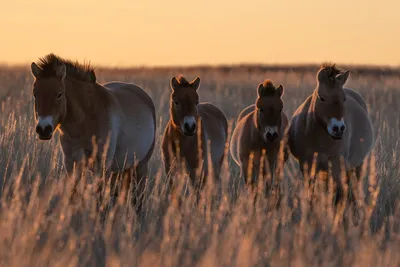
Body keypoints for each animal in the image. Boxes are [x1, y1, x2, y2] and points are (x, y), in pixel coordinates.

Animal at [29, 54, 156, 214]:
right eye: (35, 94)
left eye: (59, 94)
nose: (43, 129)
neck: (86, 119)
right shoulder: (71, 163)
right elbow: (73, 194)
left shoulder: (101, 166)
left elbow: (100, 199)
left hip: (140, 166)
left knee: (137, 199)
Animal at [288, 63, 376, 204]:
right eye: (321, 97)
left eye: (344, 98)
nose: (338, 128)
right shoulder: (307, 165)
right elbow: (312, 192)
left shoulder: (336, 165)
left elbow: (336, 194)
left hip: (356, 166)